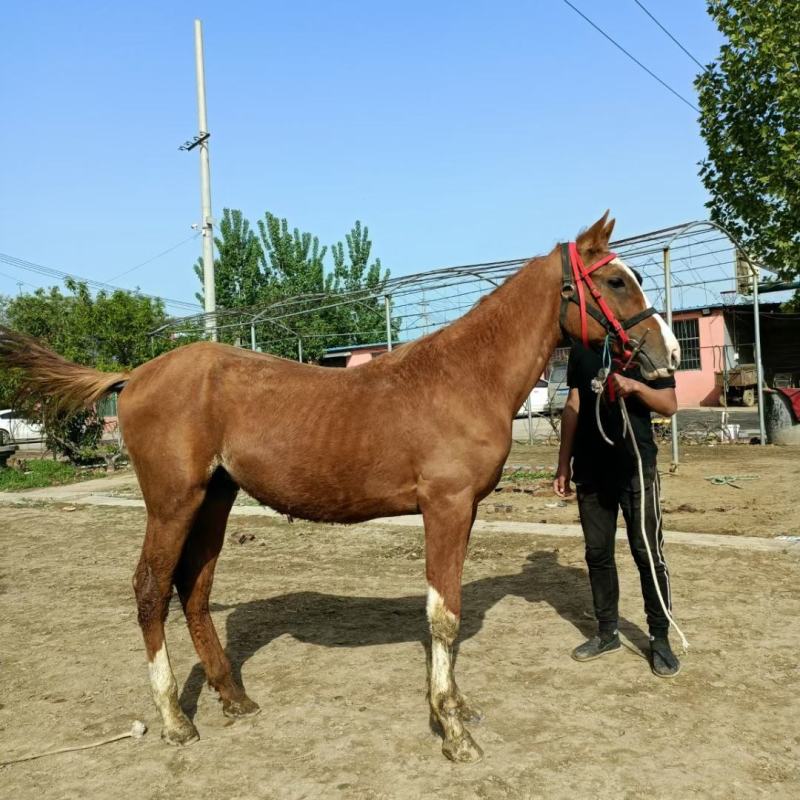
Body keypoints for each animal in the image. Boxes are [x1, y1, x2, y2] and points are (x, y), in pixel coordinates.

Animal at [0, 213, 679, 763]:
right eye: (616, 282)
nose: (668, 355)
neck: (464, 375)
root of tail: (133, 375)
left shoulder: (461, 513)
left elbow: (450, 615)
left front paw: (457, 709)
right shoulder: (445, 508)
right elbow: (443, 618)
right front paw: (453, 733)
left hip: (215, 499)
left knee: (193, 589)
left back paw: (234, 698)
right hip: (172, 502)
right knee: (150, 589)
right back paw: (174, 721)